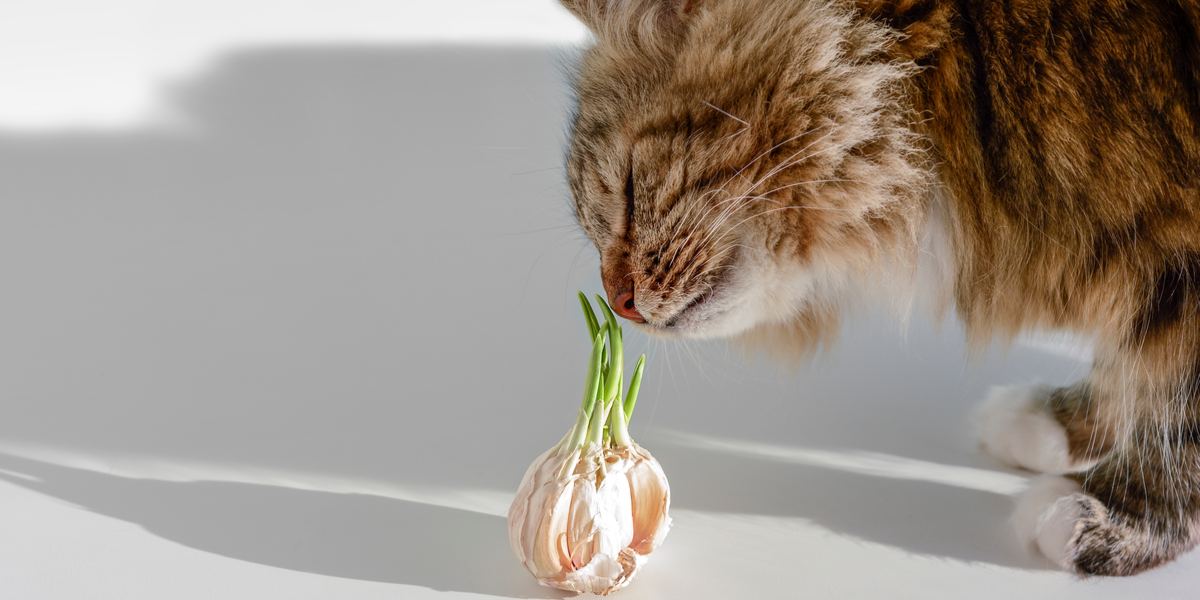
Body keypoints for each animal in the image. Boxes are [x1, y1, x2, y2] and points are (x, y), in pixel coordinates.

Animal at [559, 0, 1200, 576]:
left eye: (630, 189)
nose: (618, 303)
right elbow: (1132, 360)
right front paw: (1066, 423)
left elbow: (1177, 411)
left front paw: (1121, 517)